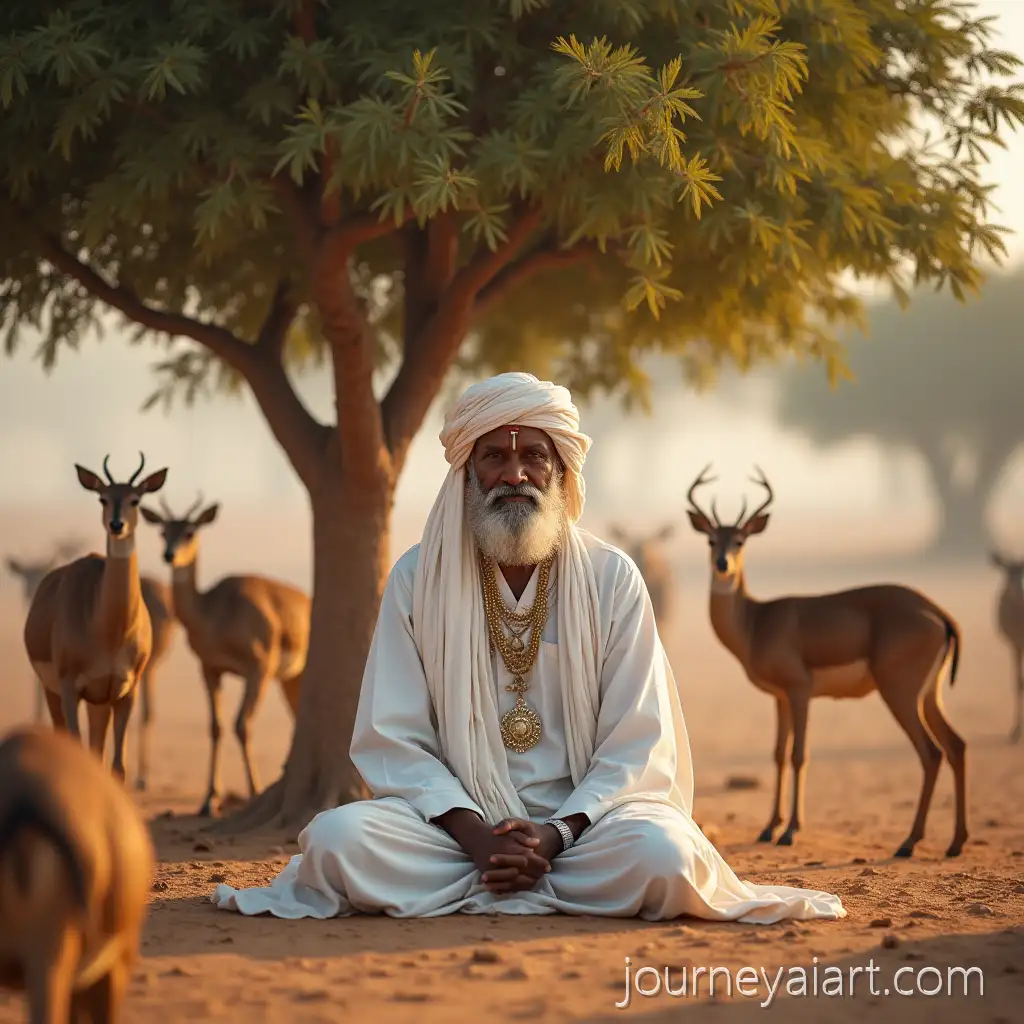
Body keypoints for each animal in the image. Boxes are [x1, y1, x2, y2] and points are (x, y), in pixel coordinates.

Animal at [22, 453, 169, 782]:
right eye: (103, 497)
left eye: (135, 499)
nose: (116, 524)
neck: (108, 630)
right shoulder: (69, 689)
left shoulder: (125, 692)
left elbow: (117, 767)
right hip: (54, 692)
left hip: (98, 703)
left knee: (97, 753)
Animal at [140, 494, 310, 817]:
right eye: (163, 531)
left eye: (190, 531)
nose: (169, 555)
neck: (214, 612)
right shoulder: (210, 670)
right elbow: (216, 728)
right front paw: (209, 801)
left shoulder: (257, 672)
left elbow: (241, 725)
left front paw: (254, 792)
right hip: (290, 680)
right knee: (297, 718)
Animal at [685, 463, 968, 859]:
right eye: (711, 540)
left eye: (740, 540)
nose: (723, 564)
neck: (757, 621)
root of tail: (938, 613)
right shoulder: (780, 698)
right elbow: (778, 754)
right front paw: (769, 828)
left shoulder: (800, 691)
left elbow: (799, 755)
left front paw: (790, 831)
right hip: (929, 696)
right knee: (957, 745)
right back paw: (955, 843)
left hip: (899, 694)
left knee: (931, 752)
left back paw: (908, 843)